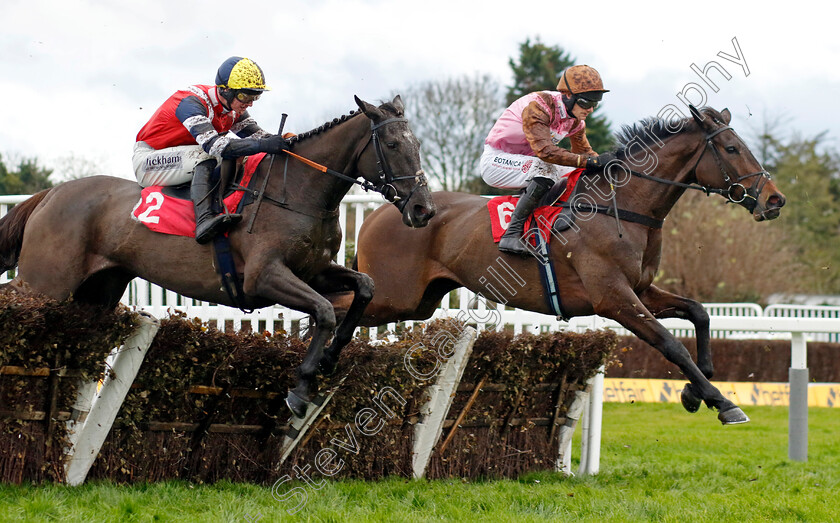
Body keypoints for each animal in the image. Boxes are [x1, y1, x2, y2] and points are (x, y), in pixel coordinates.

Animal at [0, 96, 434, 420]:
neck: (296, 192)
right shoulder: (264, 276)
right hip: (46, 283)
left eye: (417, 145)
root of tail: (50, 194)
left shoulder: (315, 271)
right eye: (392, 146)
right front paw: (301, 386)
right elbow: (326, 312)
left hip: (97, 293)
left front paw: (330, 357)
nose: (423, 210)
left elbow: (365, 288)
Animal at [342, 106, 788, 426]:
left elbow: (699, 313)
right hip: (394, 296)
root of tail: (387, 210)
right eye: (731, 149)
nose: (774, 199)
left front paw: (696, 391)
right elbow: (671, 344)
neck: (624, 209)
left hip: (418, 302)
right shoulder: (614, 299)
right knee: (347, 300)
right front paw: (722, 401)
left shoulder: (641, 290)